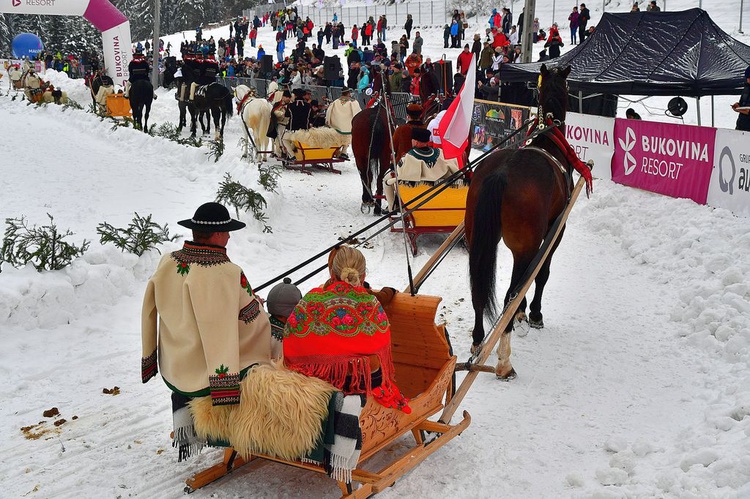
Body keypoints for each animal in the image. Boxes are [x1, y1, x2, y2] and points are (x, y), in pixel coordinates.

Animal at [464, 65, 576, 378]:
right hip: (523, 246)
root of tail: (501, 173)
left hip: (476, 238)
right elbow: (541, 274)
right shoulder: (555, 231)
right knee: (509, 296)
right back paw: (504, 360)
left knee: (479, 292)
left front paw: (524, 313)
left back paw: (479, 341)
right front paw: (534, 313)